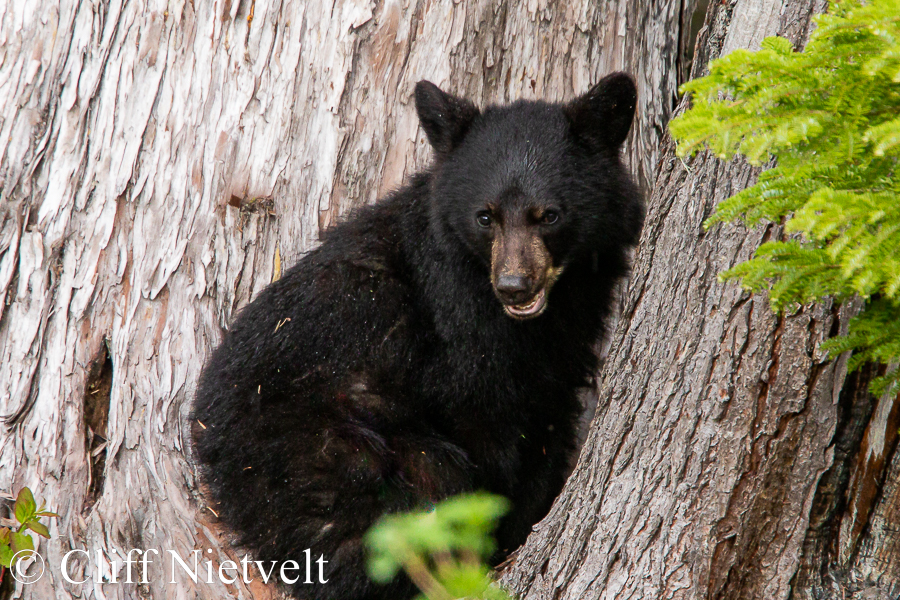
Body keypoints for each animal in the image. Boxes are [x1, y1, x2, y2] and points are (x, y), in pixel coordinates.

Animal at [192, 72, 640, 596]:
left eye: (548, 215)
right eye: (485, 216)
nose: (514, 286)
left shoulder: (564, 348)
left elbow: (546, 425)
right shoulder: (459, 328)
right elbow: (484, 422)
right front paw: (499, 530)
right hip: (319, 452)